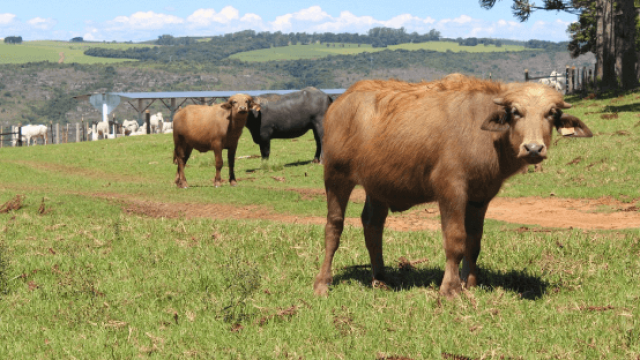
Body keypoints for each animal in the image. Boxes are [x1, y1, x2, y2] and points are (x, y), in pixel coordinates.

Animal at [312, 75, 592, 298]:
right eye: (515, 111)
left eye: (551, 113)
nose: (533, 148)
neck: (485, 135)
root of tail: (341, 100)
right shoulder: (451, 190)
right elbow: (455, 239)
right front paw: (450, 288)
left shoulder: (481, 197)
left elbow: (473, 241)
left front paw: (470, 282)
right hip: (336, 175)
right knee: (333, 226)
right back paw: (323, 282)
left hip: (377, 185)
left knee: (372, 225)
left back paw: (380, 279)